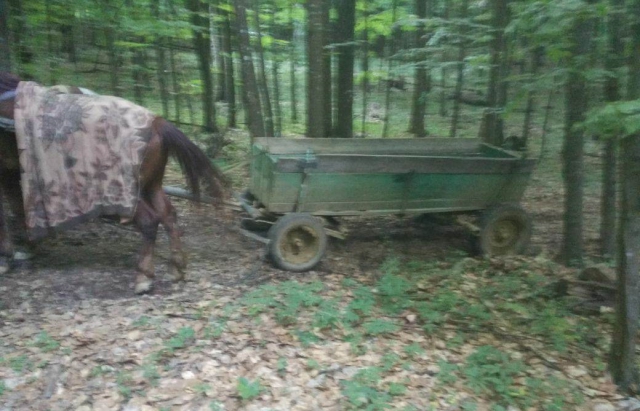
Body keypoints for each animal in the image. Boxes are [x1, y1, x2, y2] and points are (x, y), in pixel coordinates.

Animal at [0, 72, 229, 294]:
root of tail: (156, 123)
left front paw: (7, 258)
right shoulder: (12, 174)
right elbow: (18, 209)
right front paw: (26, 249)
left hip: (127, 191)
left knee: (150, 221)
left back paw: (143, 277)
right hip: (151, 185)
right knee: (168, 215)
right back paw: (177, 267)